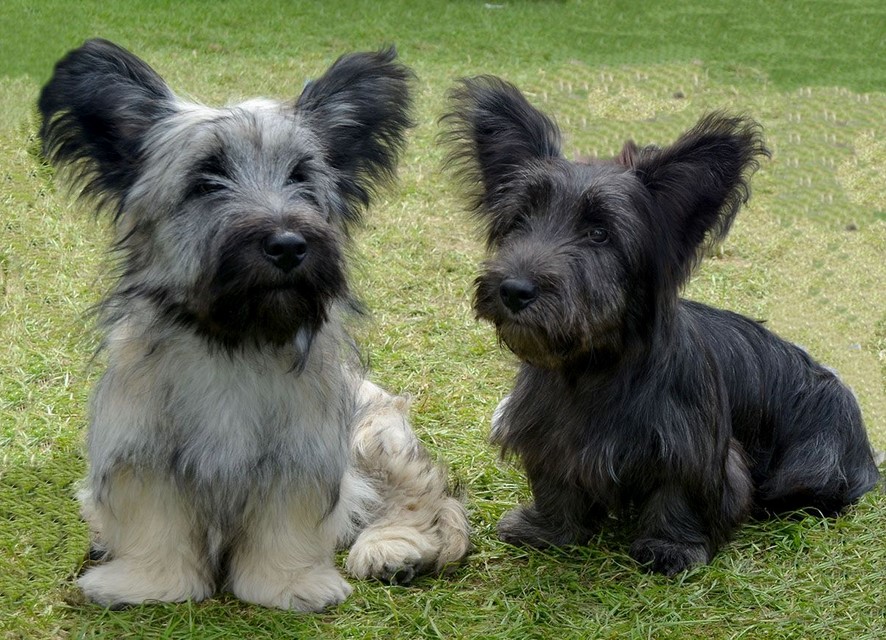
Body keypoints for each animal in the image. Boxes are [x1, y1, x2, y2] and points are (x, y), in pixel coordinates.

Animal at [38, 38, 472, 608]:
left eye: (301, 177)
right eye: (206, 180)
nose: (288, 245)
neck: (234, 341)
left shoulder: (302, 456)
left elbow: (286, 524)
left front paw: (286, 584)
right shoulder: (143, 452)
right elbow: (157, 524)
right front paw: (151, 583)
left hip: (372, 439)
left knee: (420, 499)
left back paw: (393, 547)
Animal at [444, 75, 880, 576]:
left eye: (600, 234)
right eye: (520, 221)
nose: (514, 290)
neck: (593, 367)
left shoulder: (695, 453)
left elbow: (679, 495)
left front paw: (670, 546)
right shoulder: (546, 433)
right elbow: (555, 482)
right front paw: (548, 529)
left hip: (812, 462)